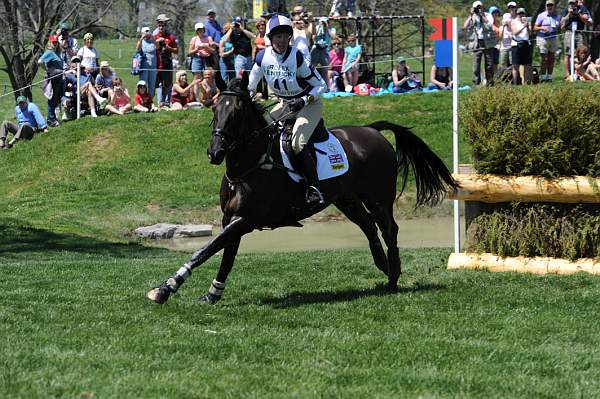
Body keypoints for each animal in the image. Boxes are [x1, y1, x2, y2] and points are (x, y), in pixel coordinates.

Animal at [148, 71, 458, 304]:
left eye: (236, 112)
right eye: (214, 109)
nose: (215, 152)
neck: (248, 166)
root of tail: (372, 130)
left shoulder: (245, 219)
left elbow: (205, 250)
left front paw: (165, 288)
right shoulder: (230, 219)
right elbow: (226, 255)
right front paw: (212, 293)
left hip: (378, 198)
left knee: (388, 229)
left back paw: (393, 275)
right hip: (346, 199)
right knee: (369, 227)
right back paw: (383, 266)